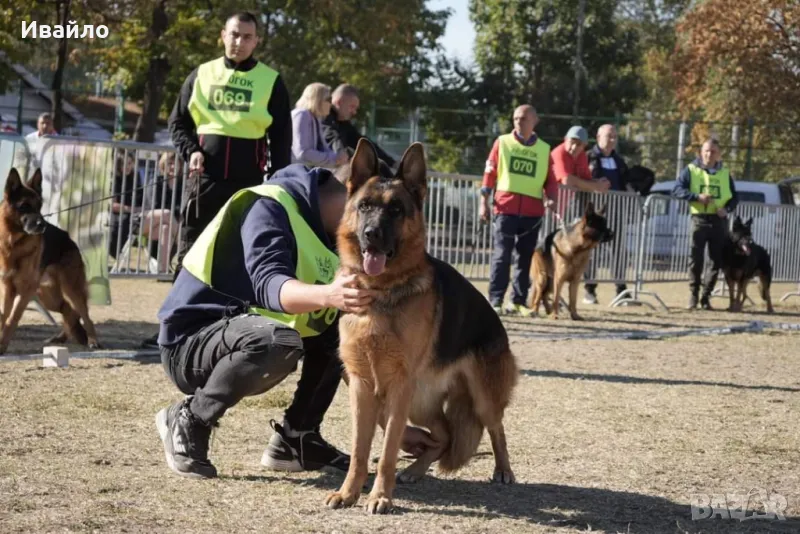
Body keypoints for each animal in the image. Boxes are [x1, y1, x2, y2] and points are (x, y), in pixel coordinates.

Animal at [0, 168, 100, 356]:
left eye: (39, 206)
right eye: (24, 205)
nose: (43, 225)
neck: (13, 243)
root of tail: (68, 238)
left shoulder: (24, 291)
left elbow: (12, 318)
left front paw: (2, 346)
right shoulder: (7, 287)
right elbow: (3, 315)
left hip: (71, 289)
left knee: (84, 314)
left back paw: (93, 341)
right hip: (46, 296)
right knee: (67, 309)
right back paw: (62, 337)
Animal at [324, 141, 520, 516]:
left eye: (397, 210)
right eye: (365, 206)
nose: (371, 235)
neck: (381, 292)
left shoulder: (399, 386)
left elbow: (387, 451)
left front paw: (380, 496)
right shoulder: (361, 386)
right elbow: (359, 451)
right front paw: (348, 493)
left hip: (477, 398)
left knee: (497, 429)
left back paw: (503, 470)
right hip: (420, 403)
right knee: (444, 436)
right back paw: (415, 469)